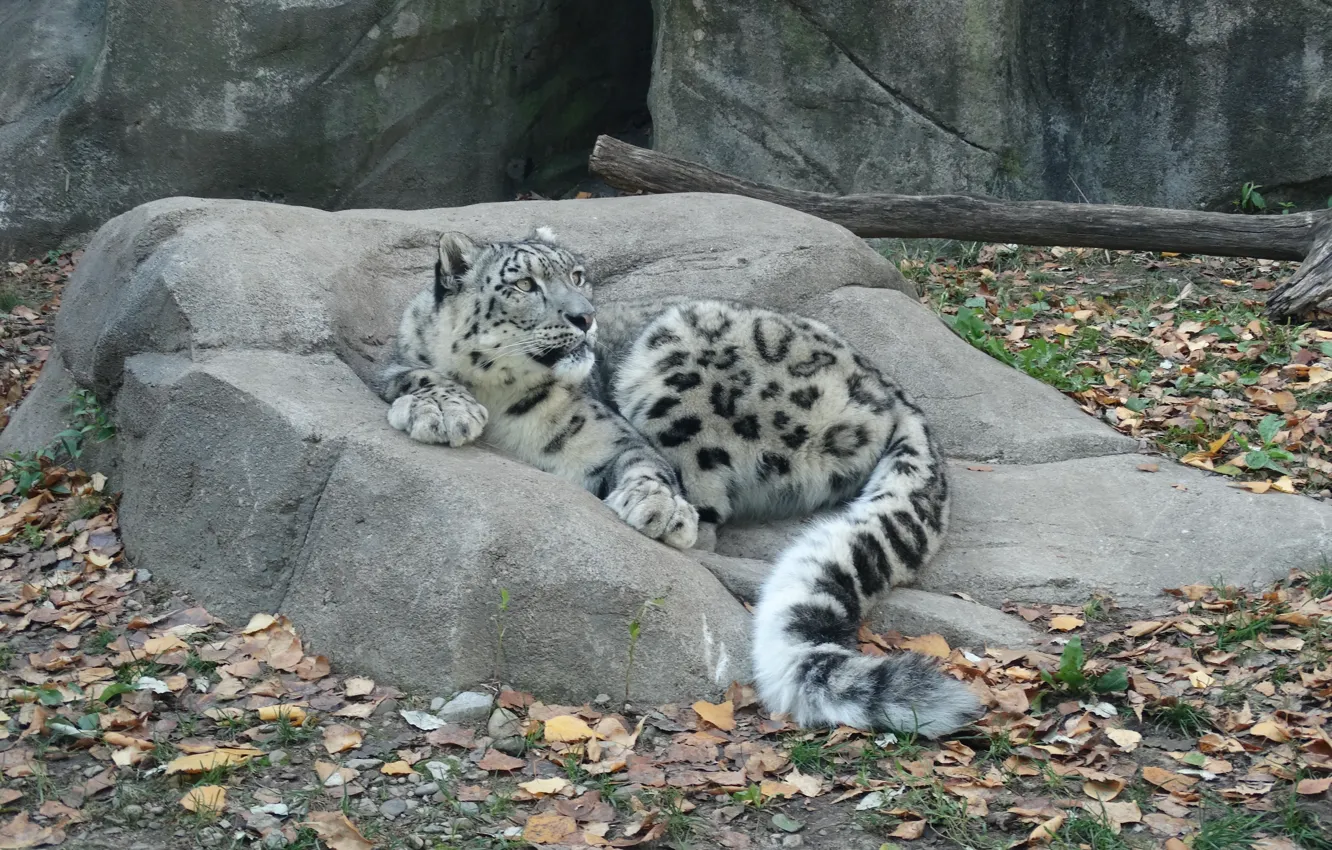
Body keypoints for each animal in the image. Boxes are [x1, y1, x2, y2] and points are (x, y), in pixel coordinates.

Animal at [378, 228, 981, 737]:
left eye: (577, 275)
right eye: (524, 284)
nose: (585, 317)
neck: (505, 398)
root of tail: (894, 390)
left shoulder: (611, 437)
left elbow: (646, 466)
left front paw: (658, 509)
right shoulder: (400, 361)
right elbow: (412, 372)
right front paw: (444, 410)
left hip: (679, 356)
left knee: (707, 514)